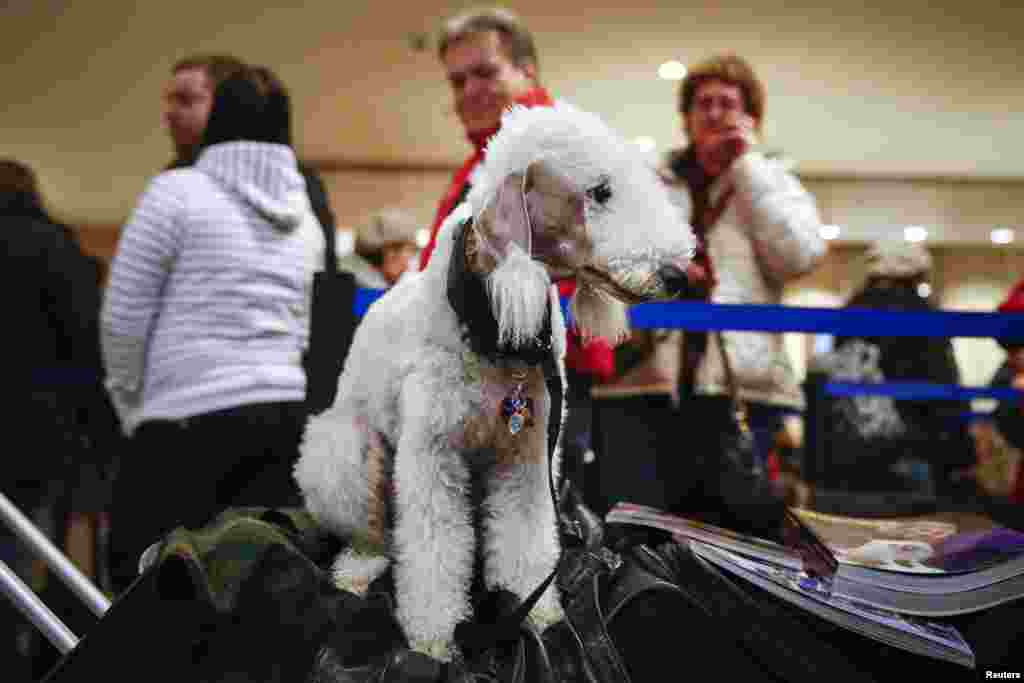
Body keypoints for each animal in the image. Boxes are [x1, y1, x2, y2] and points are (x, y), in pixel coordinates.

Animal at [294, 102, 696, 663]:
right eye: (600, 192)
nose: (679, 276)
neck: (493, 326)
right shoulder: (432, 456)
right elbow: (434, 548)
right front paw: (433, 639)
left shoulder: (526, 459)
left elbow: (525, 539)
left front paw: (540, 616)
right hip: (346, 455)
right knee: (371, 531)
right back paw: (356, 573)